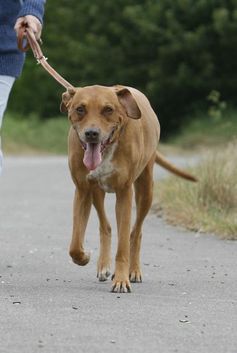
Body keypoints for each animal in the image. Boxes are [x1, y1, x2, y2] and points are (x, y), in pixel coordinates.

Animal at [61, 84, 196, 292]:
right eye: (80, 109)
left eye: (108, 109)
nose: (92, 133)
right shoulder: (82, 189)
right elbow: (75, 244)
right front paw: (83, 257)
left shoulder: (124, 193)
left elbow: (124, 244)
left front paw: (121, 279)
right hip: (96, 193)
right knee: (105, 226)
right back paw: (103, 265)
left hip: (146, 190)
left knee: (136, 232)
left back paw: (133, 271)